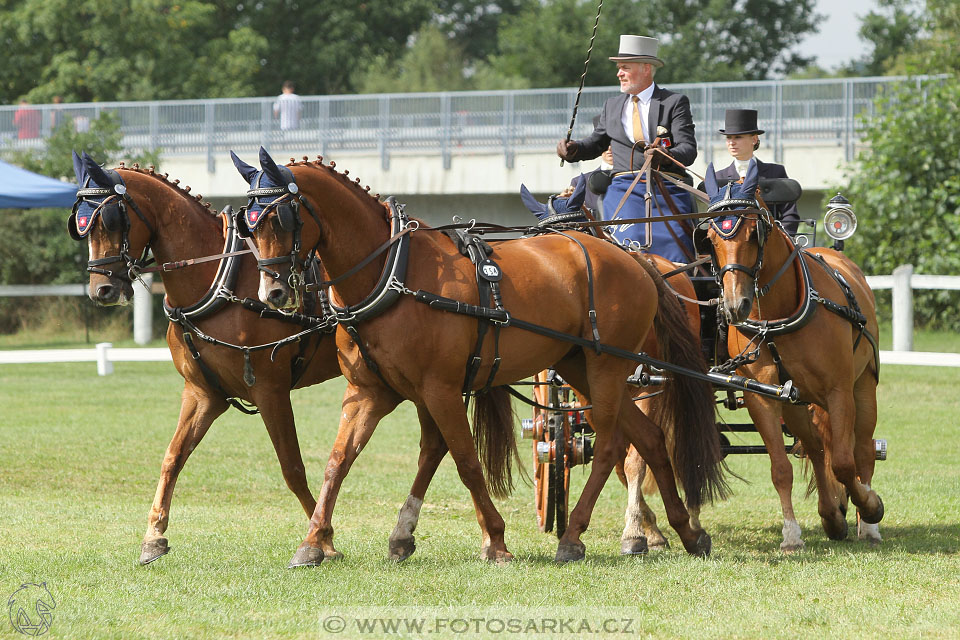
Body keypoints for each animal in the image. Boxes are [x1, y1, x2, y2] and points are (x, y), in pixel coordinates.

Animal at [65, 152, 342, 564]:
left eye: (112, 219)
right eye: (80, 223)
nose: (102, 290)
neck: (219, 280)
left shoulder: (271, 391)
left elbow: (291, 467)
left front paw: (321, 541)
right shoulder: (203, 393)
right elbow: (172, 457)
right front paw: (154, 537)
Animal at [234, 146, 728, 564]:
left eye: (281, 219)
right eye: (248, 224)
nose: (272, 293)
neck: (392, 274)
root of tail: (634, 259)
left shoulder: (440, 389)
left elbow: (465, 461)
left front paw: (495, 540)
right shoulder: (370, 392)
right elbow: (340, 461)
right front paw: (316, 542)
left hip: (608, 365)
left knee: (610, 444)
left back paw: (573, 536)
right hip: (579, 364)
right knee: (648, 437)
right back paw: (686, 531)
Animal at [700, 160, 880, 544]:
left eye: (753, 234)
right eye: (710, 239)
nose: (735, 306)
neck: (775, 319)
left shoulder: (839, 390)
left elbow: (844, 462)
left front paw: (870, 506)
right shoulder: (764, 396)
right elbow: (782, 467)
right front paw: (792, 534)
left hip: (863, 387)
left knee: (862, 449)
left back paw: (868, 523)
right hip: (796, 401)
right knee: (814, 447)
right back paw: (831, 514)